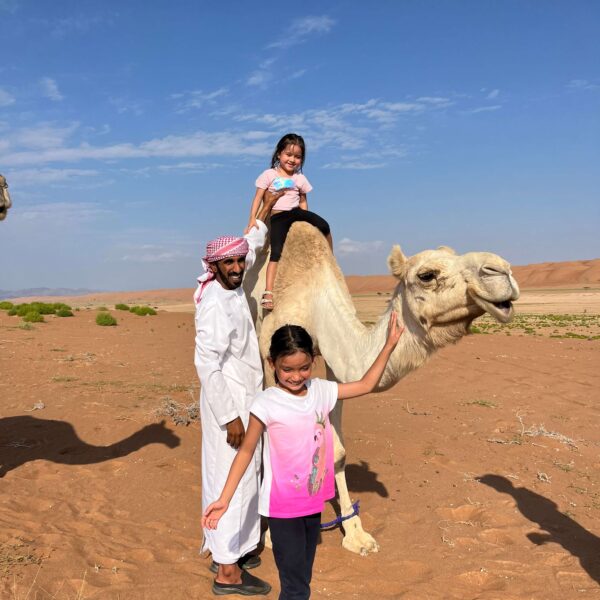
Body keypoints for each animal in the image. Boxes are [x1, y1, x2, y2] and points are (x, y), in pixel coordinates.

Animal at [245, 221, 520, 556]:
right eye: (426, 275)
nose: (502, 270)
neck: (313, 296)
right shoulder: (271, 352)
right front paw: (273, 533)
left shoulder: (338, 366)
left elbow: (337, 451)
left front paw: (355, 534)